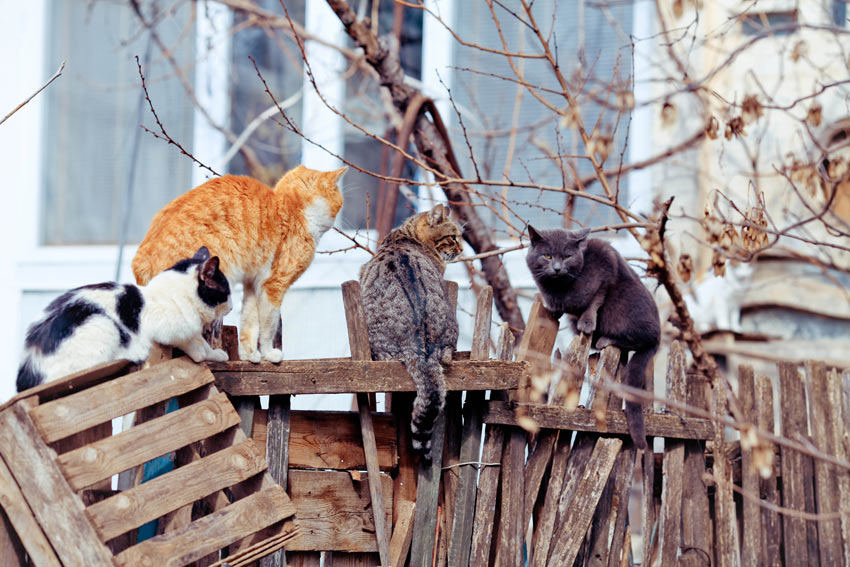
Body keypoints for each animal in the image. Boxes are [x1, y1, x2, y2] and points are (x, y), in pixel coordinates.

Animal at [17, 246, 232, 392]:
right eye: (227, 293)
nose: (231, 307)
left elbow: (200, 340)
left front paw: (215, 354)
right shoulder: (169, 330)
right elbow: (190, 343)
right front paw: (201, 354)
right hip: (102, 325)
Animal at [132, 165, 344, 364]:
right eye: (339, 201)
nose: (336, 219)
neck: (292, 210)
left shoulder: (253, 283)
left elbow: (250, 320)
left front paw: (249, 355)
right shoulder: (274, 286)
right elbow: (268, 325)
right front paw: (269, 354)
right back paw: (204, 353)